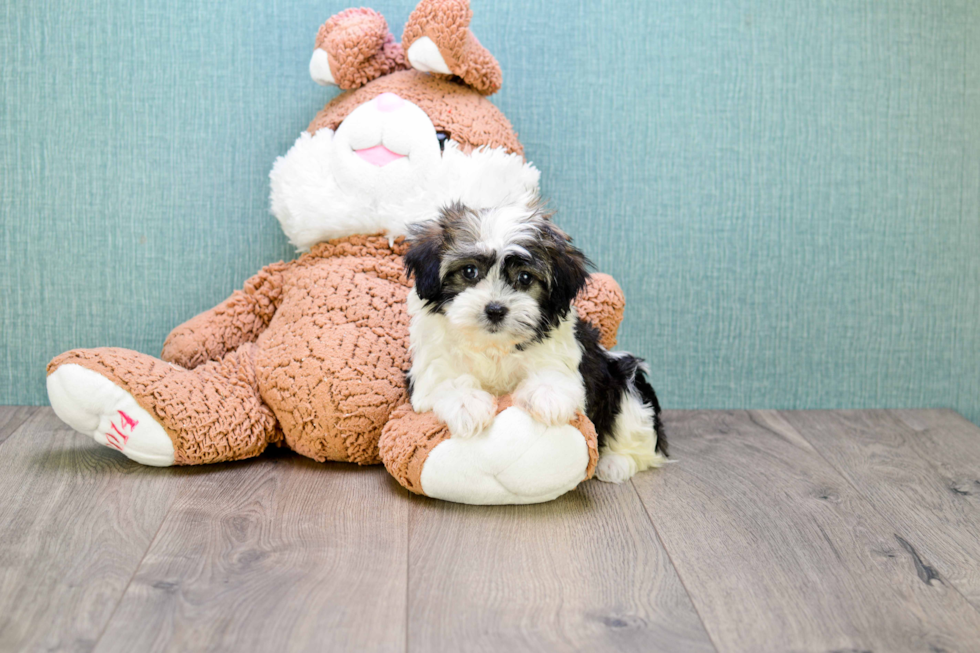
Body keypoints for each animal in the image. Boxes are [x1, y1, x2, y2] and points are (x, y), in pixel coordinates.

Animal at [404, 201, 668, 482]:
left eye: (525, 278)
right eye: (469, 271)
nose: (495, 309)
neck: (494, 345)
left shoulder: (565, 359)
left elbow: (553, 375)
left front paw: (548, 396)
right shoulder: (430, 367)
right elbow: (447, 382)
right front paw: (468, 405)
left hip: (625, 380)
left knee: (642, 441)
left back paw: (614, 463)